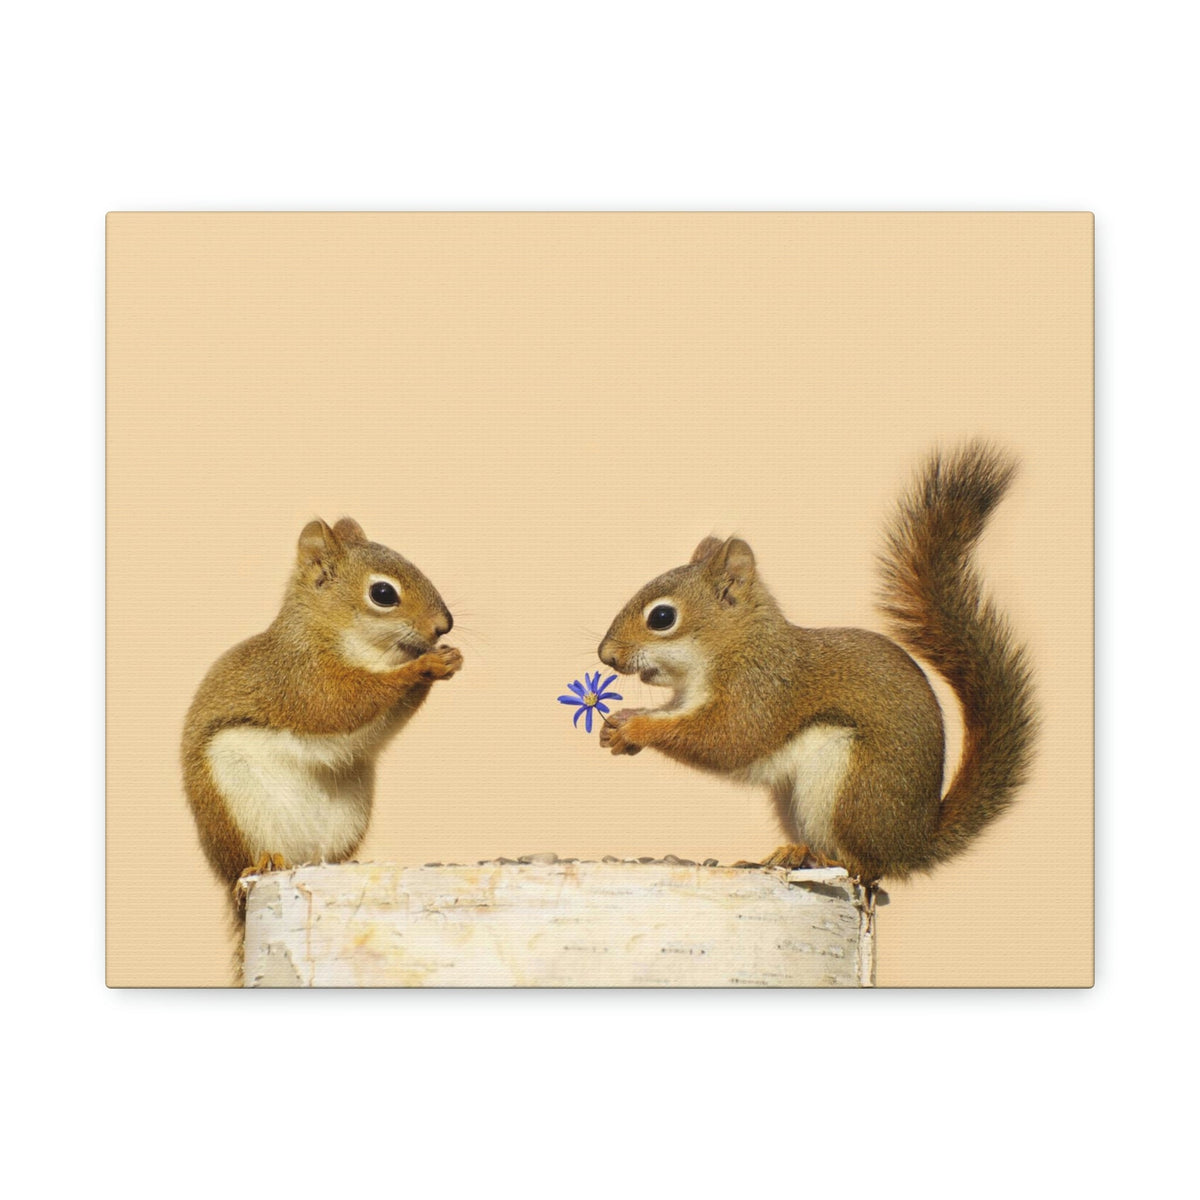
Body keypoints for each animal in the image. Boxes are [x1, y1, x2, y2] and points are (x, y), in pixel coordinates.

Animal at [181, 517, 461, 904]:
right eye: (383, 594)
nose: (443, 625)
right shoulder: (300, 676)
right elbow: (340, 704)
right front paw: (423, 666)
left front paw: (449, 658)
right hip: (236, 806)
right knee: (249, 860)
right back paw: (264, 862)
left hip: (348, 816)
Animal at [596, 442, 1036, 883]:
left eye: (662, 617)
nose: (606, 656)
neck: (734, 647)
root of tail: (912, 844)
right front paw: (617, 725)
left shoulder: (761, 690)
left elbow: (726, 738)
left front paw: (636, 728)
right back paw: (792, 852)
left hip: (849, 788)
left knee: (864, 866)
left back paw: (817, 858)